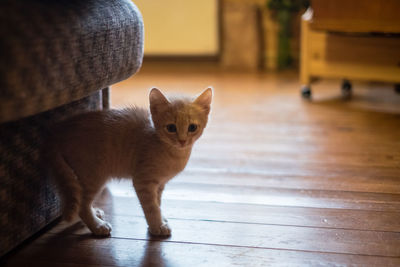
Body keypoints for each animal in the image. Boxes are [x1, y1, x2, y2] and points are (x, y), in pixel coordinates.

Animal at [43, 88, 212, 237]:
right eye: (171, 127)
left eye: (192, 127)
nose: (182, 141)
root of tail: (58, 130)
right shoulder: (143, 181)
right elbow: (151, 207)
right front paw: (157, 225)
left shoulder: (159, 184)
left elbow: (157, 202)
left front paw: (161, 219)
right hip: (94, 175)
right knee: (81, 206)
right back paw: (97, 226)